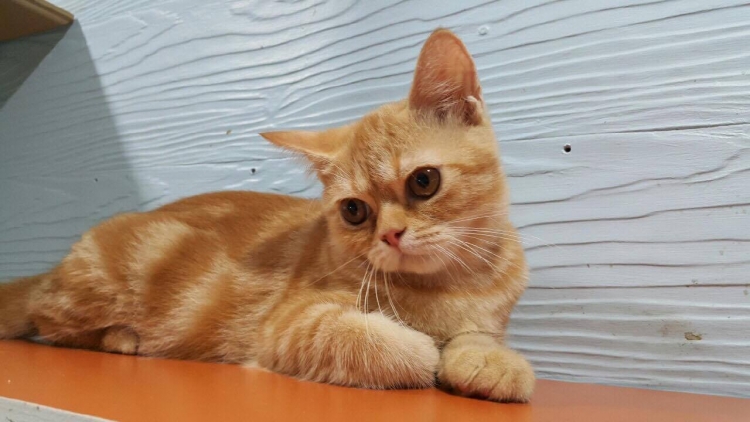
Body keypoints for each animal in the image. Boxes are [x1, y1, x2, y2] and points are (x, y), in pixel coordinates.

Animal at [0, 29, 534, 402]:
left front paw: (493, 362)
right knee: (50, 320)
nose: (391, 235)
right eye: (354, 210)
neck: (447, 288)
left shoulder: (487, 315)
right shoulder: (289, 324)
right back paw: (121, 336)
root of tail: (56, 267)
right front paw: (421, 348)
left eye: (423, 181)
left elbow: (478, 337)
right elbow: (365, 338)